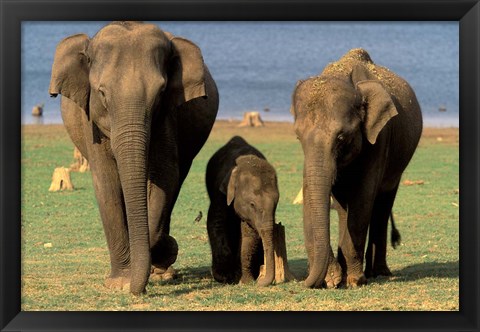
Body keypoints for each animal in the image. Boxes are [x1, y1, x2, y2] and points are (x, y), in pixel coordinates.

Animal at [49, 21, 219, 296]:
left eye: (160, 92)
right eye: (102, 93)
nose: (134, 287)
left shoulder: (167, 118)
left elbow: (165, 176)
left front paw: (162, 254)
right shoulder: (91, 125)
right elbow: (106, 183)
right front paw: (119, 283)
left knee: (177, 181)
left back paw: (162, 272)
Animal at [205, 136, 280, 286]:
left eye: (276, 204)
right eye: (252, 204)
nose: (260, 281)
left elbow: (249, 235)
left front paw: (245, 280)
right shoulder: (220, 192)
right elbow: (216, 223)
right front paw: (226, 276)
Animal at [288, 48, 420, 290]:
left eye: (342, 137)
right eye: (298, 137)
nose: (304, 282)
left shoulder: (380, 138)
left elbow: (362, 199)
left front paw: (355, 281)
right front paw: (334, 279)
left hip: (397, 166)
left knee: (382, 205)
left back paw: (378, 272)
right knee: (343, 209)